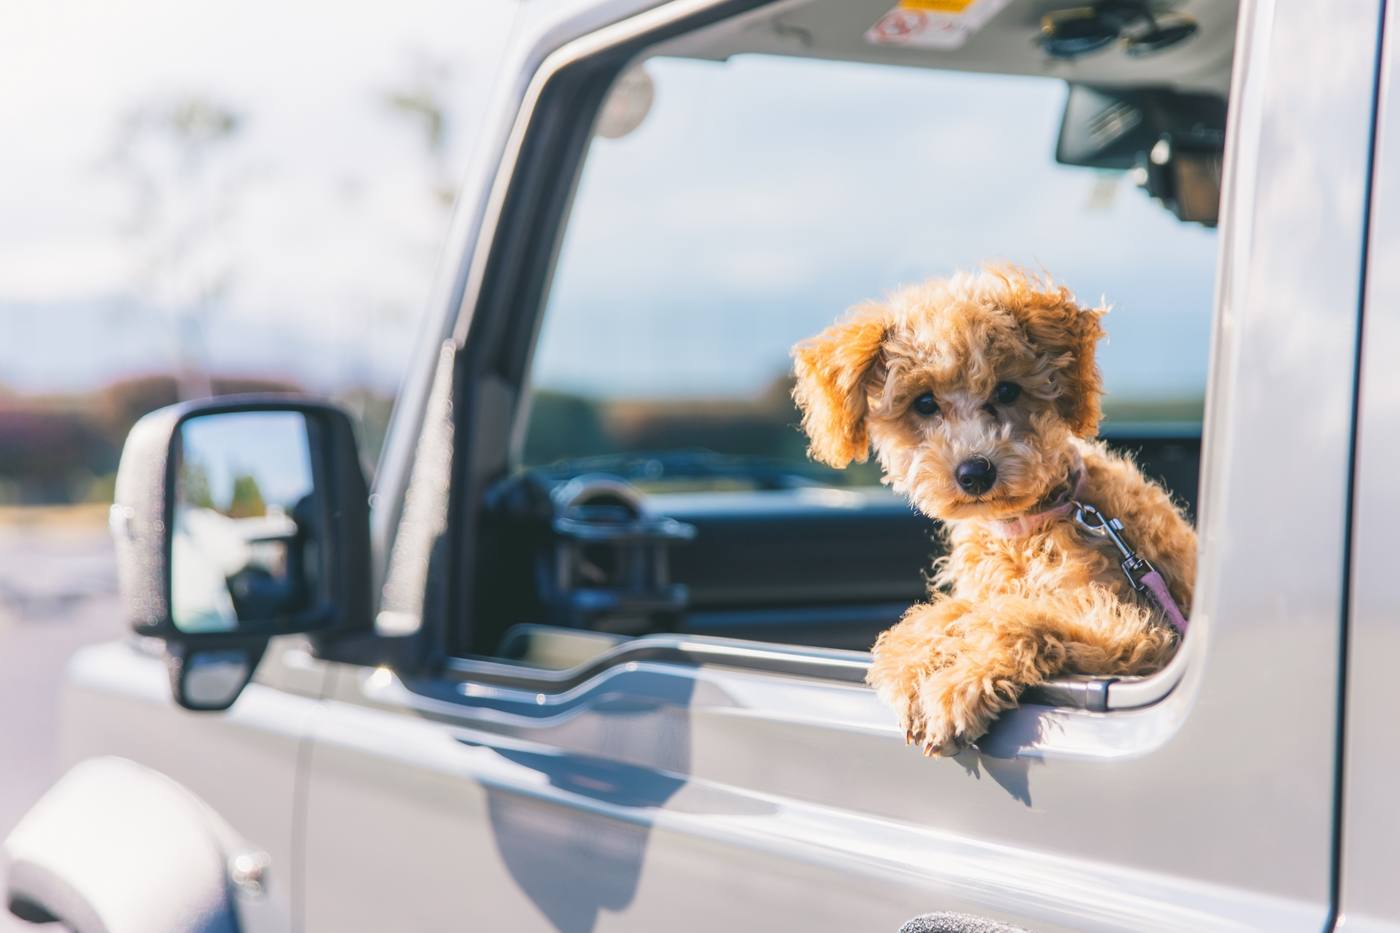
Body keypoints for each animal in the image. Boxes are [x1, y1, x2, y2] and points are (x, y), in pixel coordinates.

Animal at [795, 264, 1198, 750]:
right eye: (924, 402)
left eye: (1008, 391)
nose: (974, 472)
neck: (1029, 525)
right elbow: (954, 611)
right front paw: (910, 658)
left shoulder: (1136, 632)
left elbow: (1021, 619)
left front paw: (956, 685)